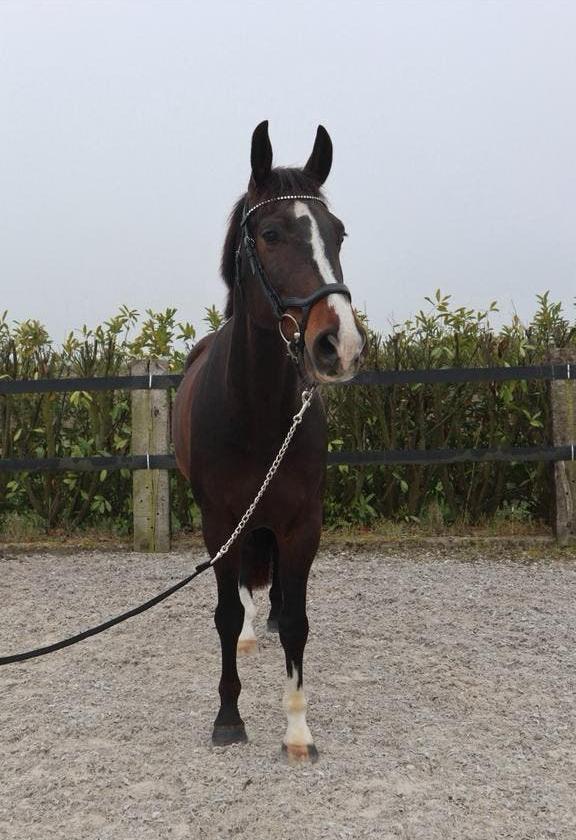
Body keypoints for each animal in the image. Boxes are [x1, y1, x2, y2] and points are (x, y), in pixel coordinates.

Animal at [172, 121, 366, 761]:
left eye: (338, 232)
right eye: (272, 233)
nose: (339, 344)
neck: (254, 412)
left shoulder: (304, 522)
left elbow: (301, 621)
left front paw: (298, 730)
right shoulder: (219, 521)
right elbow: (226, 614)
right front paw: (228, 716)